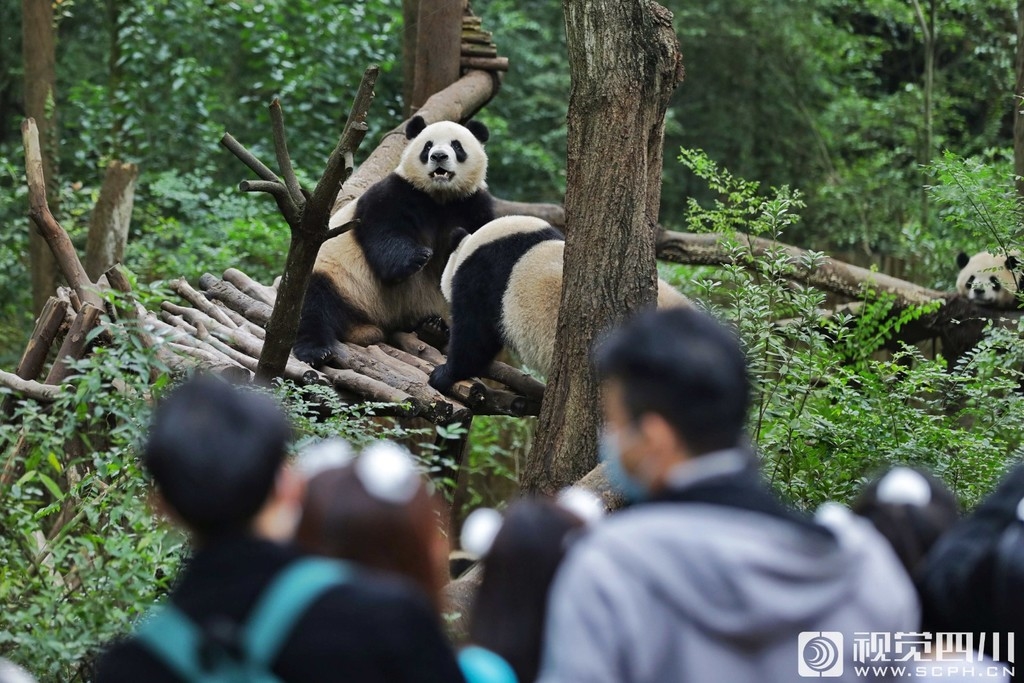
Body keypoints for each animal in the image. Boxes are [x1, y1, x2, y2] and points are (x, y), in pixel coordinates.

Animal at [292, 114, 495, 366]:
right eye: (427, 146)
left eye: (457, 146)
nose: (438, 156)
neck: (441, 197)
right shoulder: (400, 192)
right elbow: (385, 231)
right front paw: (418, 257)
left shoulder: (473, 206)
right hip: (340, 279)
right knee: (310, 302)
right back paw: (316, 350)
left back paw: (434, 329)